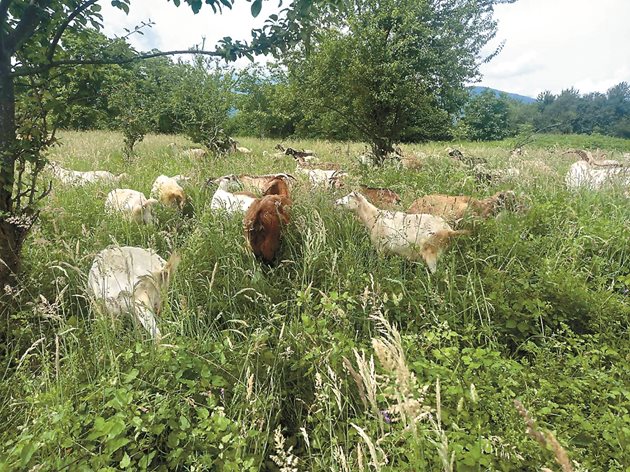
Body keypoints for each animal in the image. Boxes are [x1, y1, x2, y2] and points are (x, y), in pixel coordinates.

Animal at [336, 192, 470, 272]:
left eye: (349, 197)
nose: (336, 202)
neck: (374, 217)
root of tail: (448, 230)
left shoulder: (380, 248)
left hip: (430, 251)